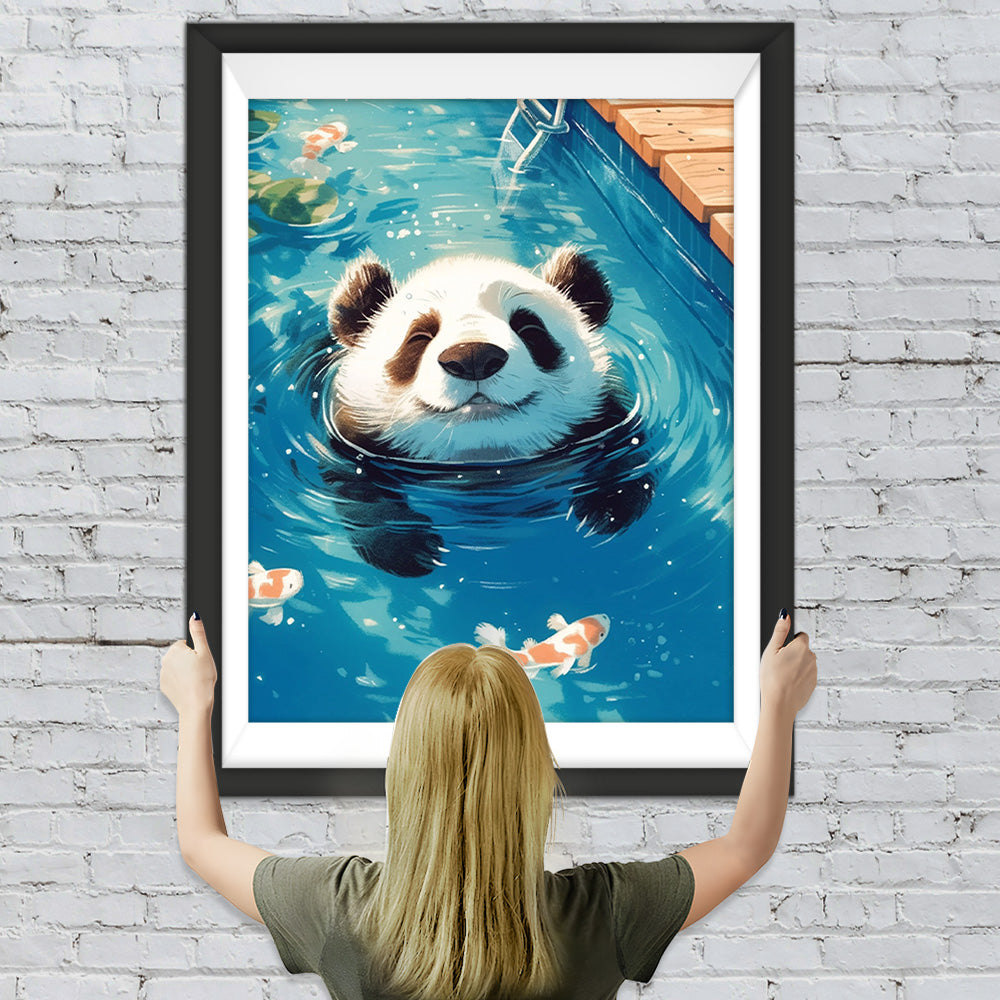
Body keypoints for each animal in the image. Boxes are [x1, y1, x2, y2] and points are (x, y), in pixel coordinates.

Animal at [287, 244, 657, 577]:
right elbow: (359, 492)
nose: (473, 356)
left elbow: (627, 453)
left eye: (530, 328)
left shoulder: (605, 419)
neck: (482, 460)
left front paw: (605, 510)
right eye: (419, 336)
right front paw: (409, 550)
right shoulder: (353, 439)